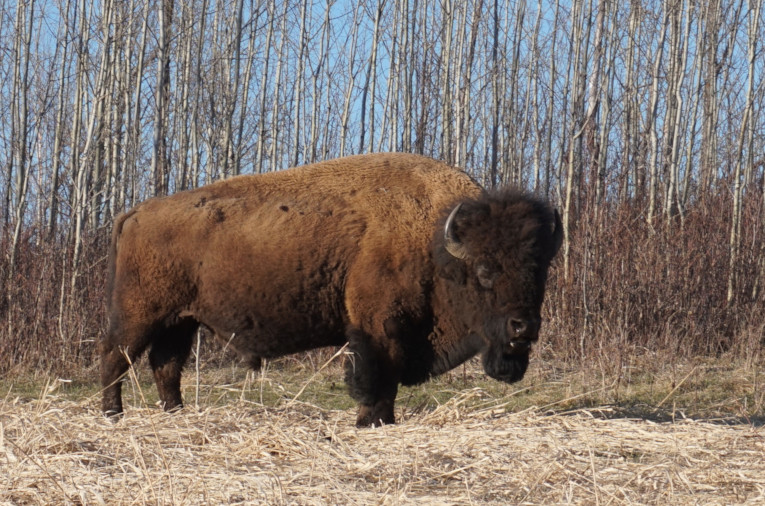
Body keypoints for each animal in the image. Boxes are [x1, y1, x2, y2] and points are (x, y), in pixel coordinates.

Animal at [101, 153, 562, 426]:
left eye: (538, 271)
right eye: (485, 271)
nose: (523, 327)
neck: (435, 243)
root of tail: (135, 212)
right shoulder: (378, 330)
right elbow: (376, 379)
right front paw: (371, 421)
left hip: (181, 320)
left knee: (166, 365)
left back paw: (175, 413)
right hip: (140, 315)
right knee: (116, 357)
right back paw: (112, 415)